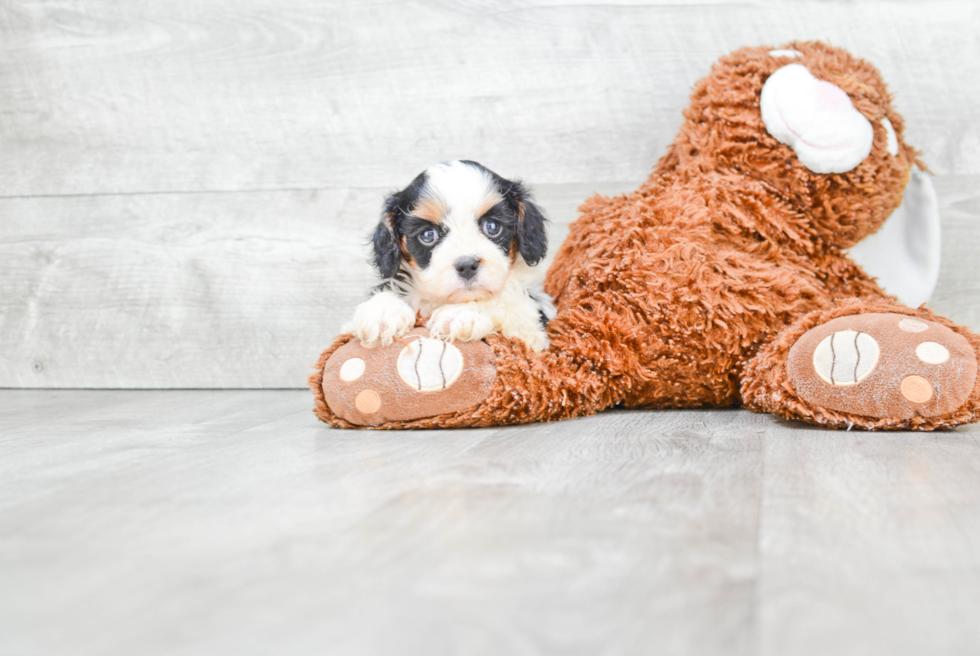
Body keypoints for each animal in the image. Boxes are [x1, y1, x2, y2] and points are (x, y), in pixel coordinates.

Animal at [350, 158, 552, 352]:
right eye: (428, 235)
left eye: (493, 226)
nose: (467, 265)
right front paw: (382, 312)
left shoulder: (533, 332)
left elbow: (507, 303)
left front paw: (463, 313)